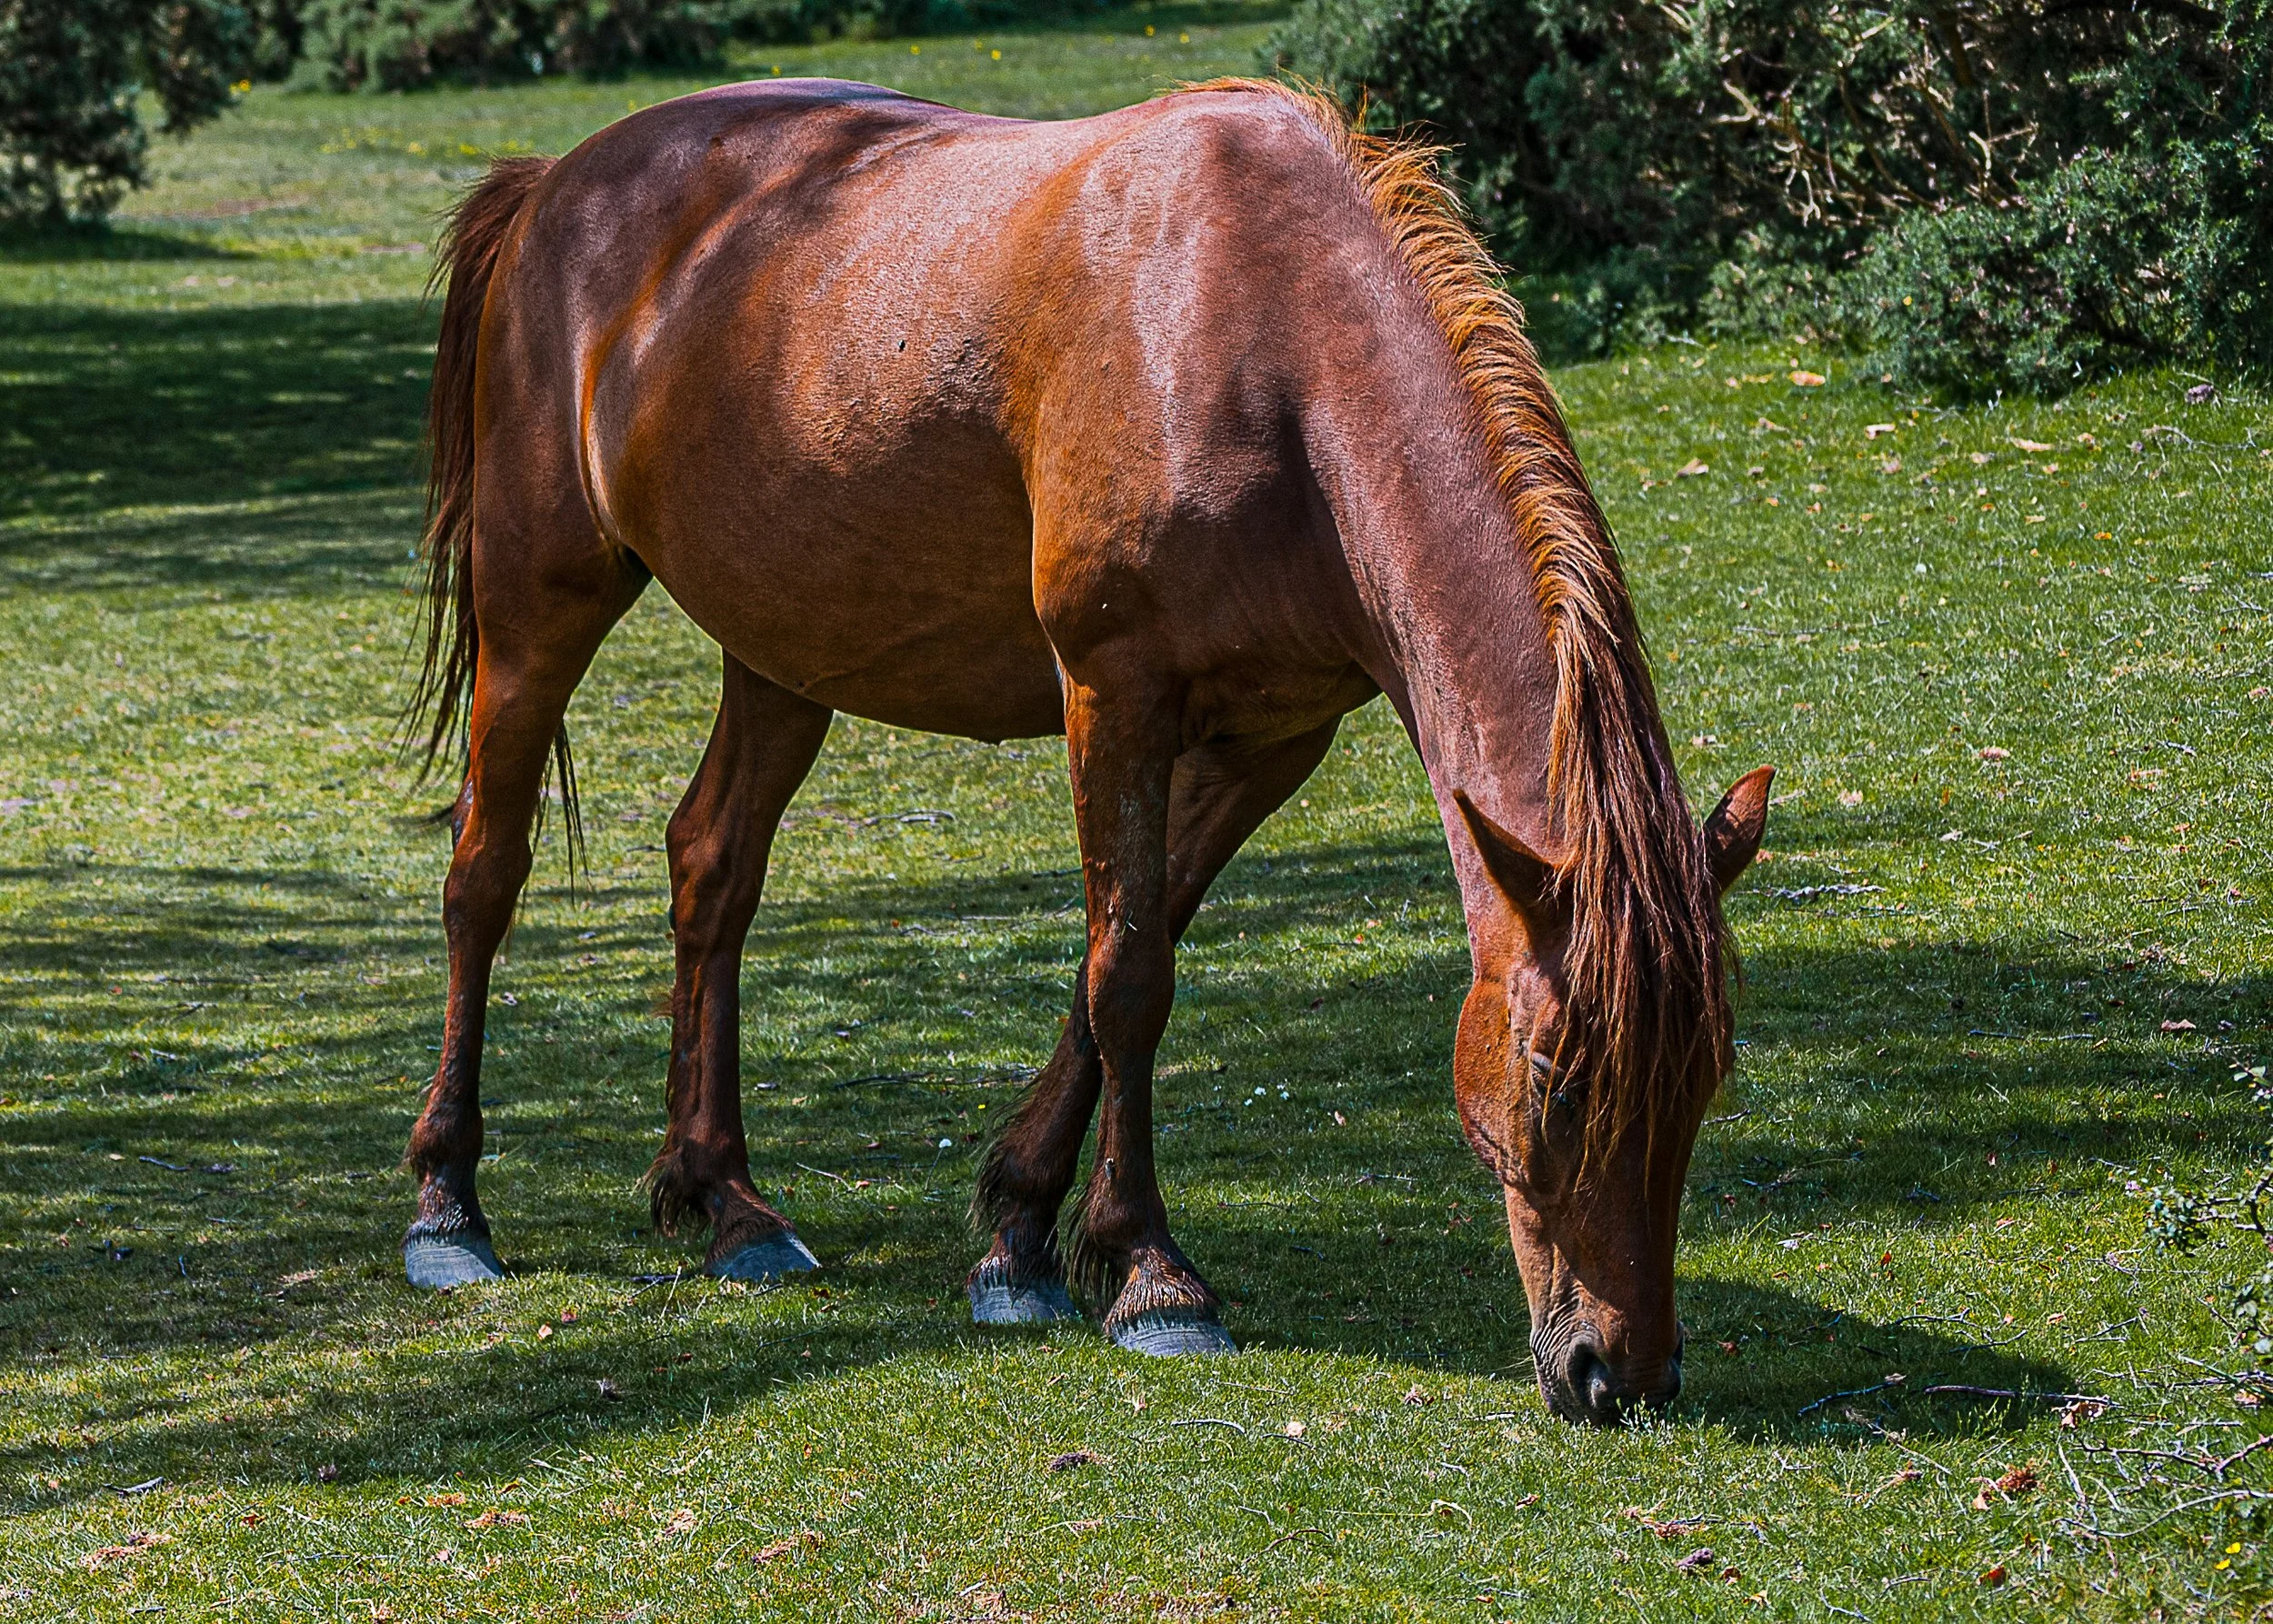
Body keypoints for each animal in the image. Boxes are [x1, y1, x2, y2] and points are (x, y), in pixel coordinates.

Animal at [400, 74, 1772, 1425]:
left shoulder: (1269, 741)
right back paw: (449, 1205)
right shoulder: (1115, 694)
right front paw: (1154, 1278)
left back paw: (724, 1200)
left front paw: (1021, 1233)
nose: (1621, 1372)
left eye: (1705, 1076)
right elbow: (1129, 982)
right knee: (485, 871)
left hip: (784, 654)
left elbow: (1120, 957)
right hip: (540, 600)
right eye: (1555, 1082)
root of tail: (557, 183)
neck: (1265, 345)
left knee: (711, 868)